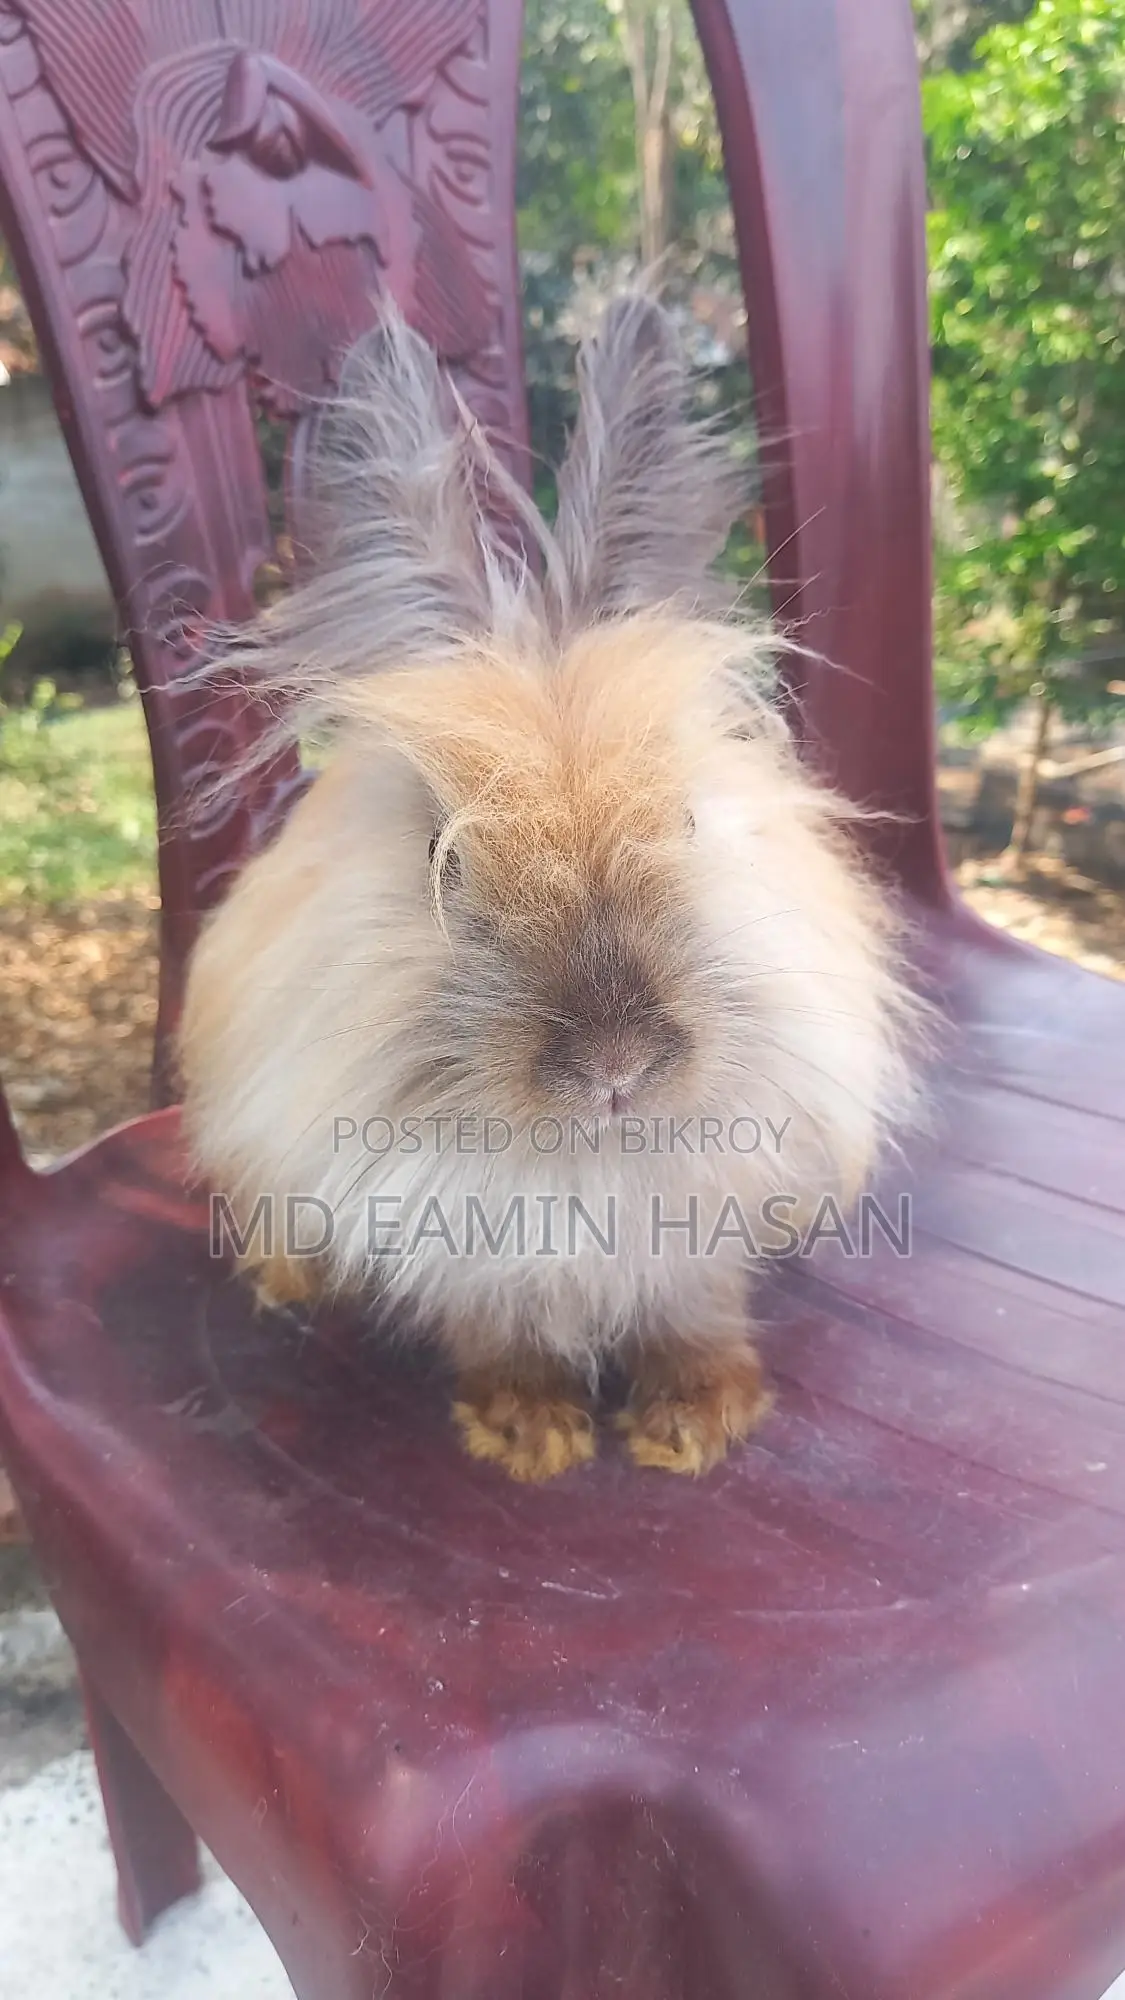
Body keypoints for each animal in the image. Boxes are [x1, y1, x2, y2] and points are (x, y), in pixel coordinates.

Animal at [179, 295, 921, 1482]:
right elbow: (506, 1329)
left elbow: (695, 1313)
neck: (593, 1159)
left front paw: (694, 1424)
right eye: (445, 859)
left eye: (686, 820)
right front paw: (530, 1435)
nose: (613, 1067)